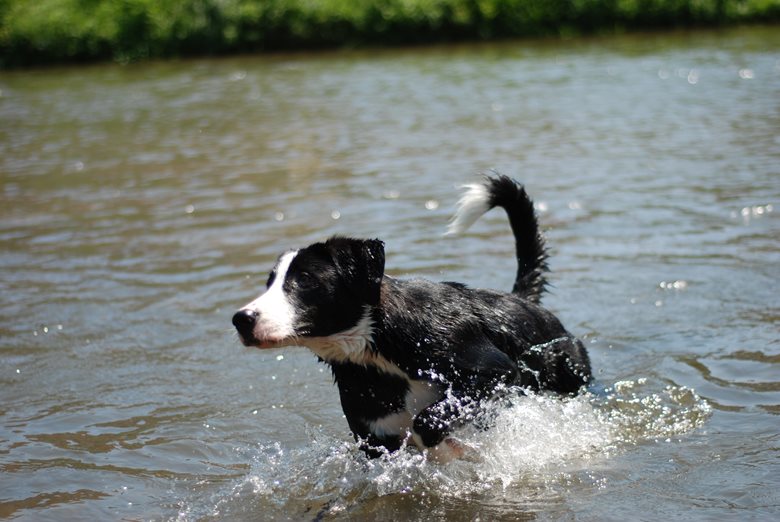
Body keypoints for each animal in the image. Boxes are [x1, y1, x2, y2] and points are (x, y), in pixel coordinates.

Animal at [232, 174, 592, 460]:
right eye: (269, 282)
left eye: (305, 279)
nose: (241, 319)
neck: (377, 349)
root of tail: (521, 299)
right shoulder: (374, 437)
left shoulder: (494, 372)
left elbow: (427, 421)